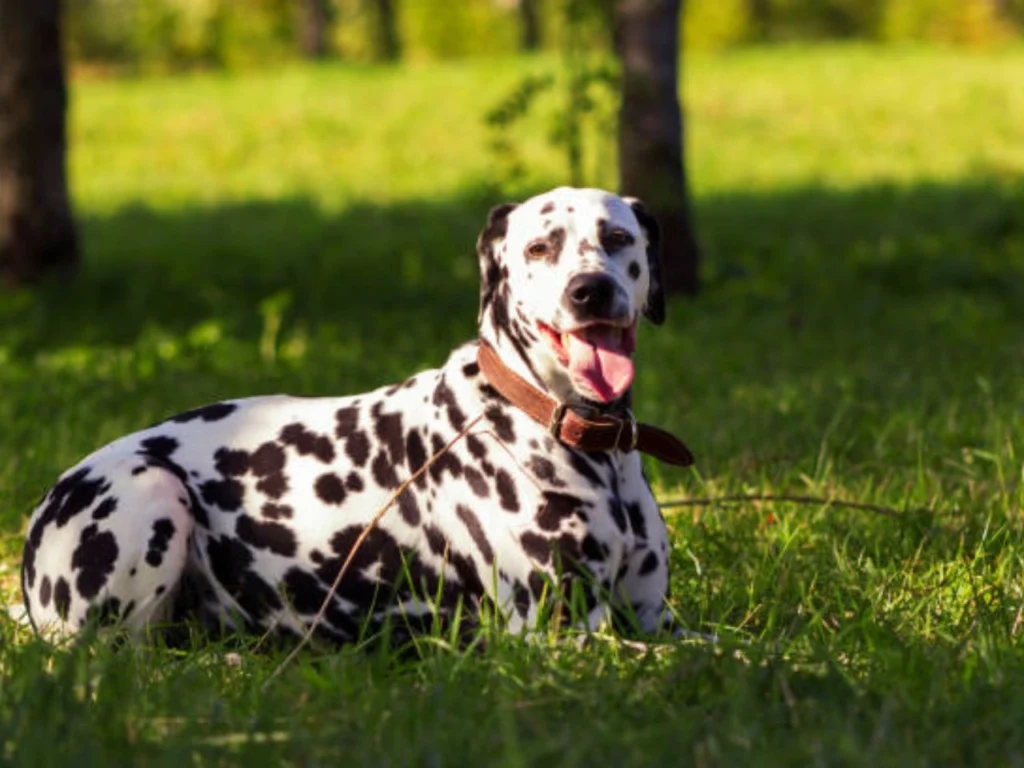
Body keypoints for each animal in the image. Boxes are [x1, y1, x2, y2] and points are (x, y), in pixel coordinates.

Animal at [19, 186, 692, 643]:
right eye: (539, 247)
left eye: (618, 238)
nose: (590, 290)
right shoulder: (566, 635)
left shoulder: (653, 617)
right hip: (155, 493)